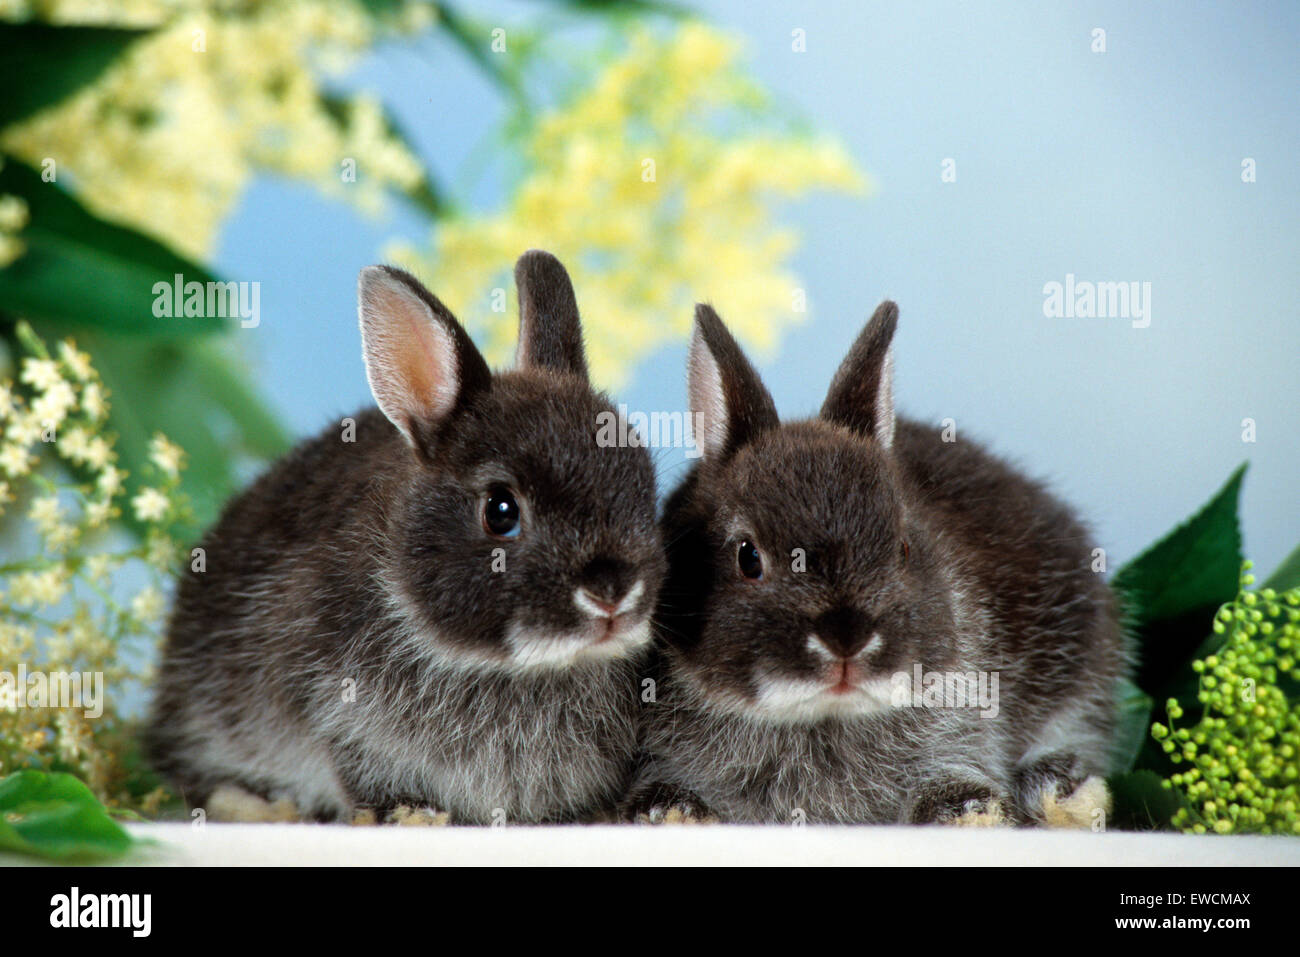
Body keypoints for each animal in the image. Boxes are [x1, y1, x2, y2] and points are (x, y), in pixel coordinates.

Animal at [629, 302, 1128, 826]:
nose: (846, 642)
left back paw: (1063, 793)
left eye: (903, 548)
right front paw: (674, 813)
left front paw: (972, 813)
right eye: (748, 557)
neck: (822, 717)